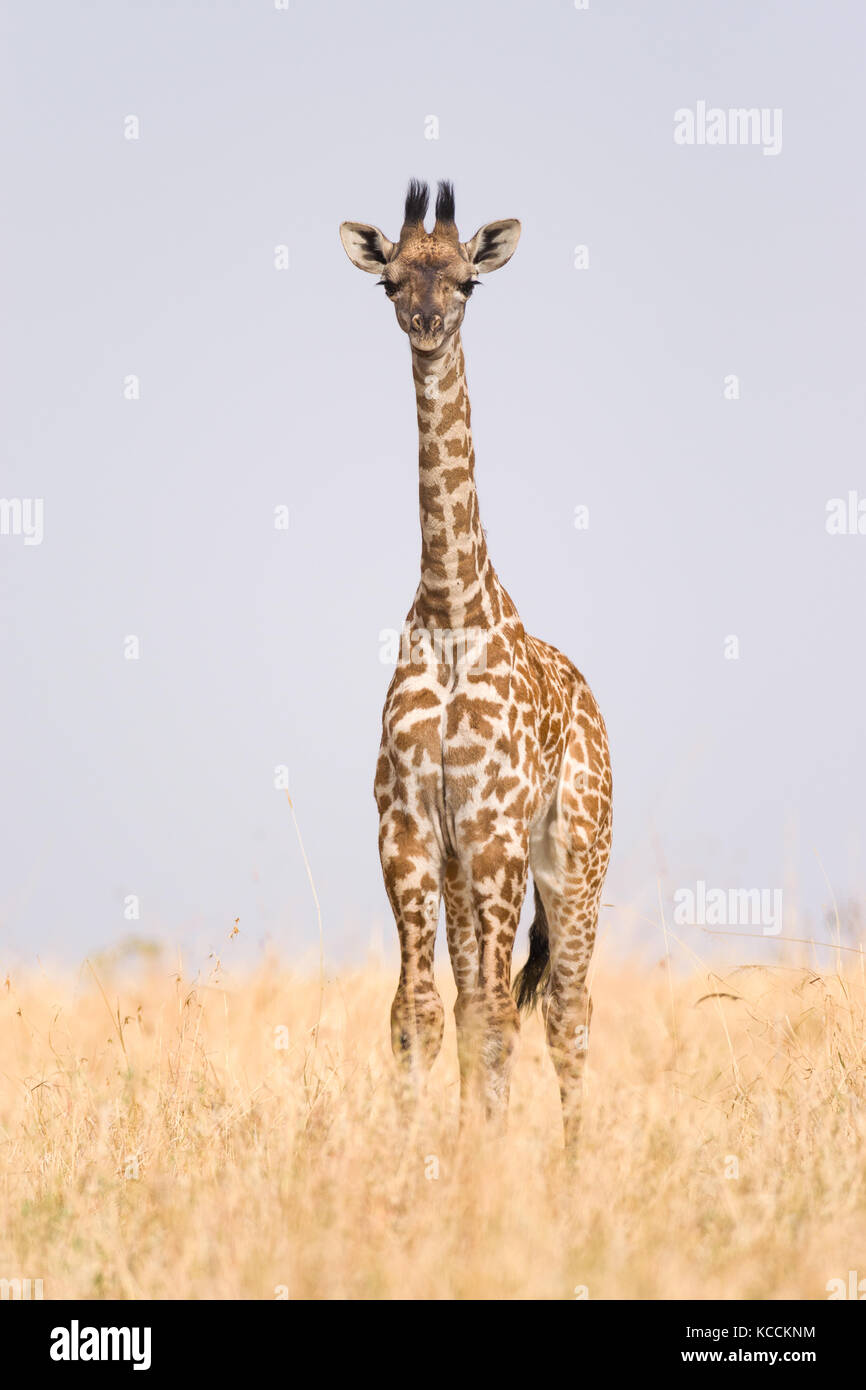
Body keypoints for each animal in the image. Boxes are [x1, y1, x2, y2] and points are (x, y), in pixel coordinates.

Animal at [339, 180, 613, 1151]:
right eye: (390, 282)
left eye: (467, 281)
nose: (425, 322)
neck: (452, 611)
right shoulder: (412, 830)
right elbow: (419, 1013)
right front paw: (428, 1156)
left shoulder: (496, 830)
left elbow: (498, 1015)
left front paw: (482, 1162)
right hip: (466, 874)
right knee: (474, 1002)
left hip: (575, 854)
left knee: (567, 1007)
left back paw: (573, 1166)